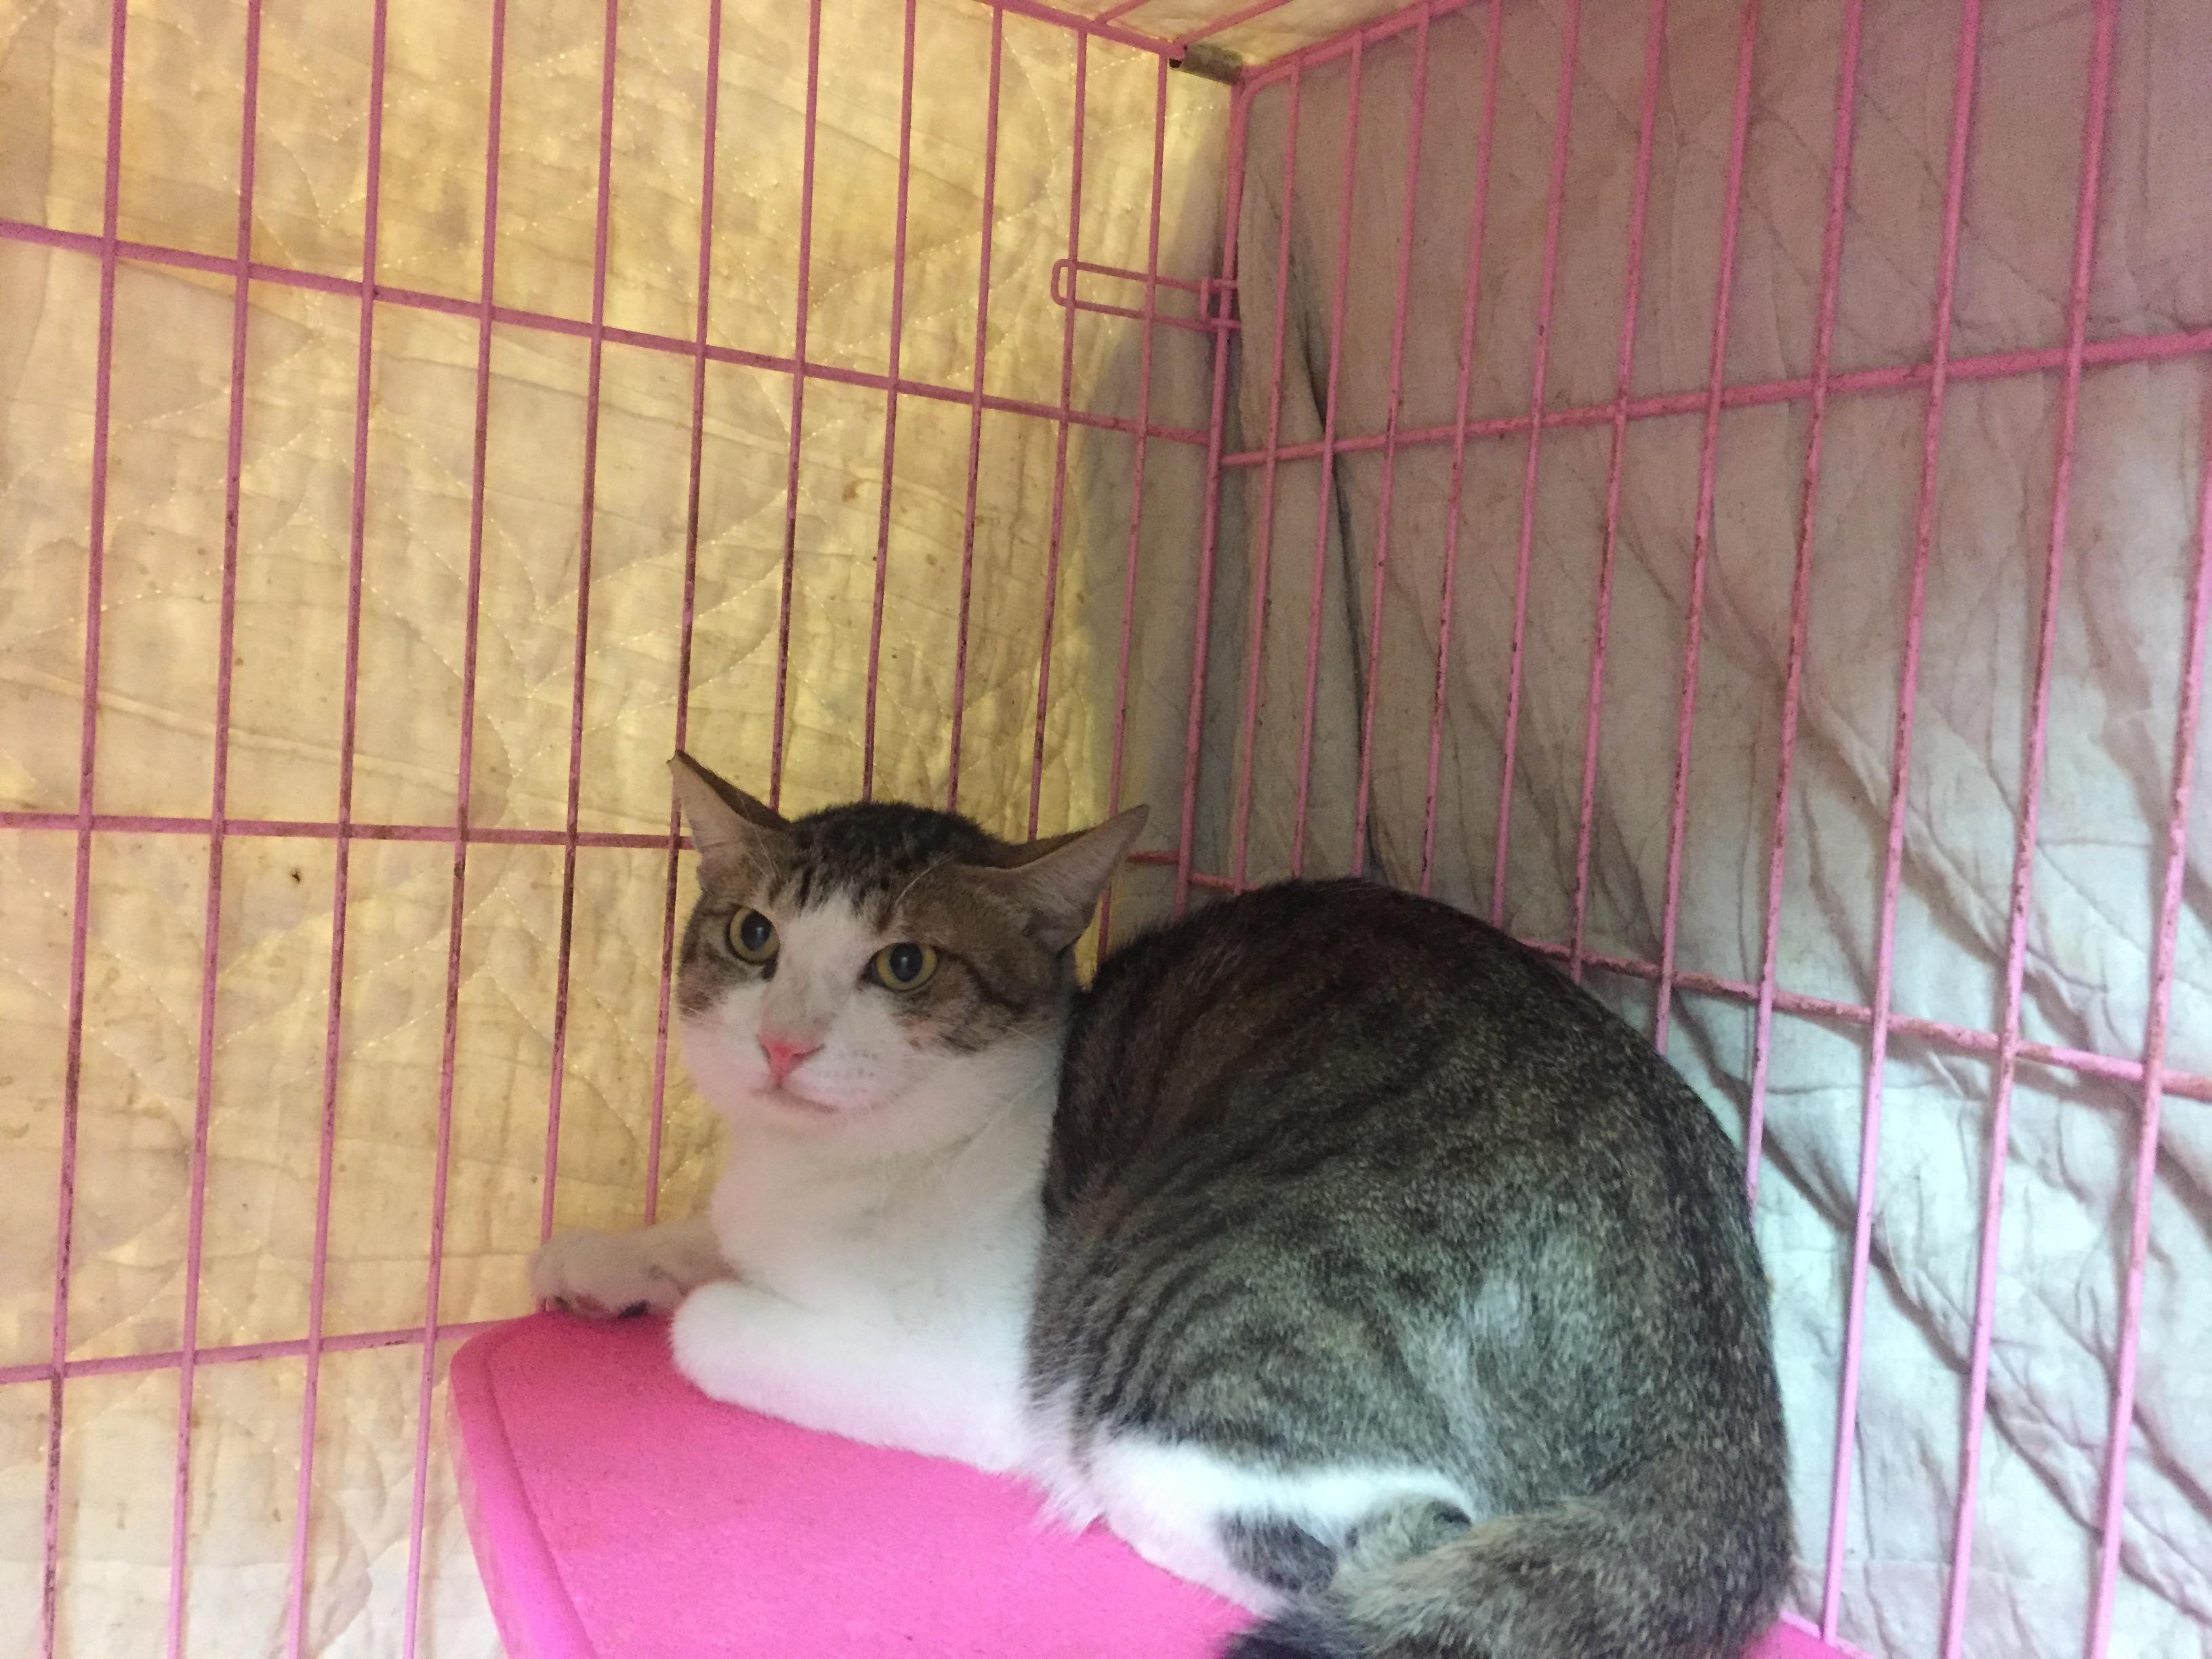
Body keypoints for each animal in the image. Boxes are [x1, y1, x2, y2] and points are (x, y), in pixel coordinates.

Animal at [529, 750, 1791, 1659]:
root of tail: (1716, 1412)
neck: (821, 1166)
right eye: (753, 936)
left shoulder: (966, 1366)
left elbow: (717, 1324)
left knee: (1391, 1539)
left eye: (904, 965)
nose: (784, 1042)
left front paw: (693, 1300)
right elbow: (704, 1236)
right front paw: (603, 1258)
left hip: (1184, 1341)